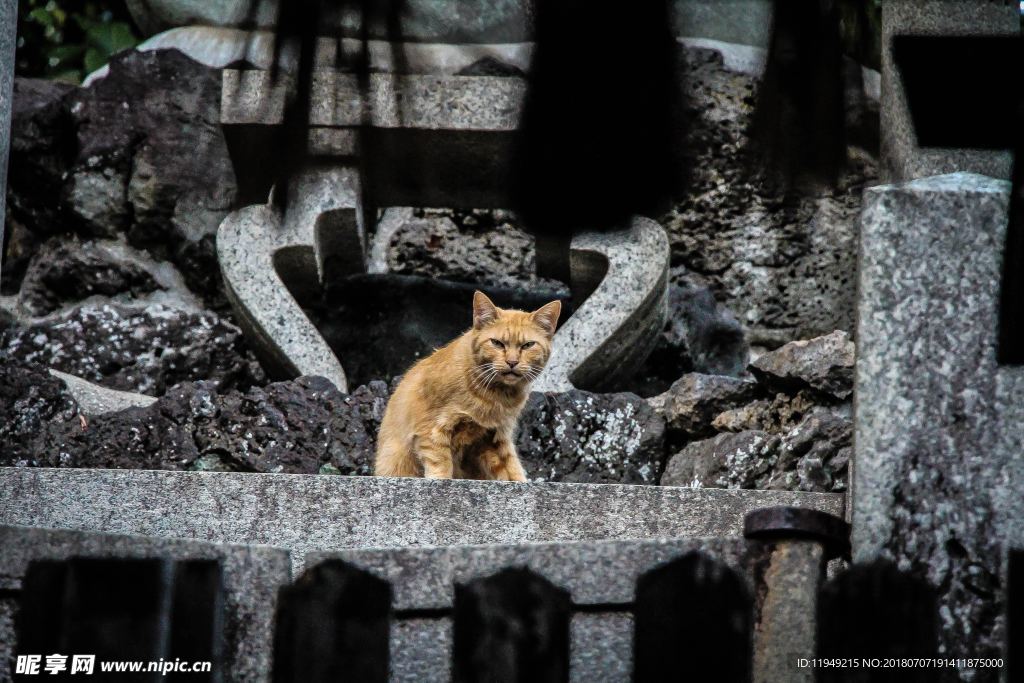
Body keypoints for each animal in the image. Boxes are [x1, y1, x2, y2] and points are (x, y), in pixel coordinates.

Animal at [372, 292, 561, 481]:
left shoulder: (496, 436)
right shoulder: (431, 428)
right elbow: (441, 462)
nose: (512, 362)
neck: (495, 396)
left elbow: (511, 467)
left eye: (528, 345)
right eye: (497, 343)